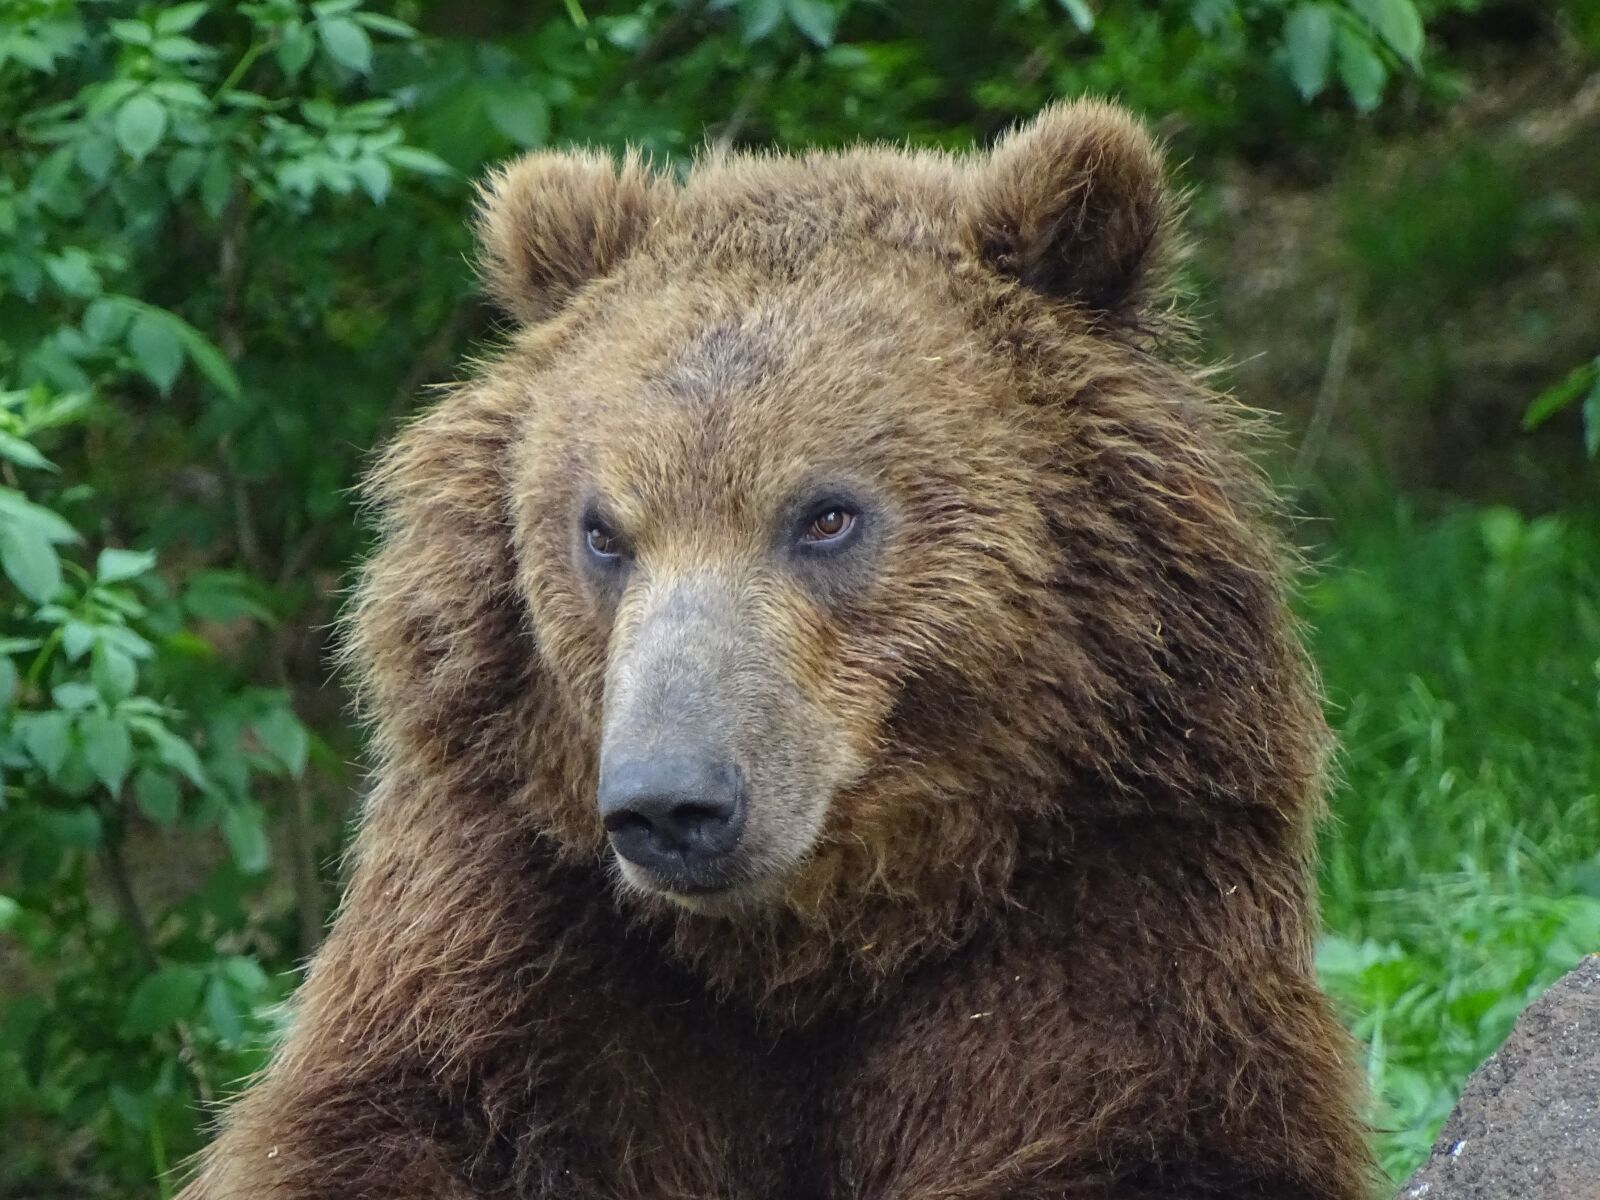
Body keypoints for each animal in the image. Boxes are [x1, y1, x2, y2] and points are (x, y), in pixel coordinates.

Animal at [181, 100, 1373, 1200]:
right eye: (602, 530)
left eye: (827, 515)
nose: (670, 803)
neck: (805, 950)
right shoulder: (515, 934)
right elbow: (397, 1117)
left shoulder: (1108, 903)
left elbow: (1134, 1122)